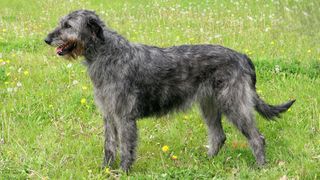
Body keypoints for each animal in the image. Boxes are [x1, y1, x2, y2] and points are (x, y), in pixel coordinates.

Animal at [44, 9, 296, 172]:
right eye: (61, 23)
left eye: (68, 26)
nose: (46, 39)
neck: (106, 53)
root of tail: (243, 57)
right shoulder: (109, 114)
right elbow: (109, 146)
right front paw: (104, 170)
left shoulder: (124, 116)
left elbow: (125, 147)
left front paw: (123, 172)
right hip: (209, 105)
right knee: (219, 136)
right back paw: (207, 162)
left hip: (234, 104)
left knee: (257, 138)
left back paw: (260, 167)